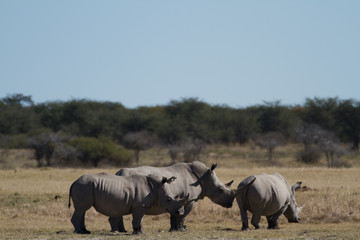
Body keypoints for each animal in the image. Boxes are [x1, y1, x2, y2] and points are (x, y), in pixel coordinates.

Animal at [110, 161, 256, 232]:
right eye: (220, 189)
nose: (230, 204)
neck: (204, 177)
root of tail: (118, 173)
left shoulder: (176, 199)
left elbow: (175, 215)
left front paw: (174, 229)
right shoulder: (189, 198)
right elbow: (183, 214)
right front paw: (181, 229)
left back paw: (121, 231)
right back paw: (119, 231)